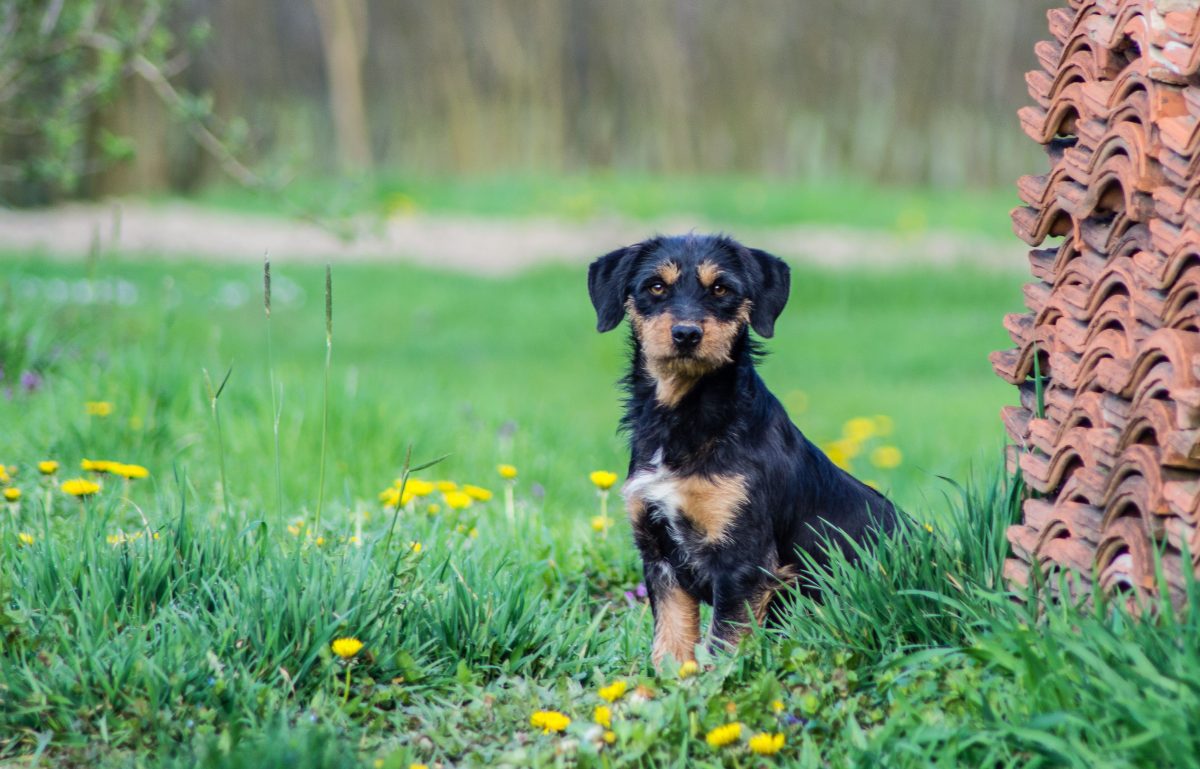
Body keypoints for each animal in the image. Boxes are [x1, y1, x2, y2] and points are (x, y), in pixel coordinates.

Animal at [585, 233, 897, 667]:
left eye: (721, 289)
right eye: (656, 286)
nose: (686, 334)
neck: (688, 417)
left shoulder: (743, 563)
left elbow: (724, 647)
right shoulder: (659, 557)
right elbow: (670, 645)